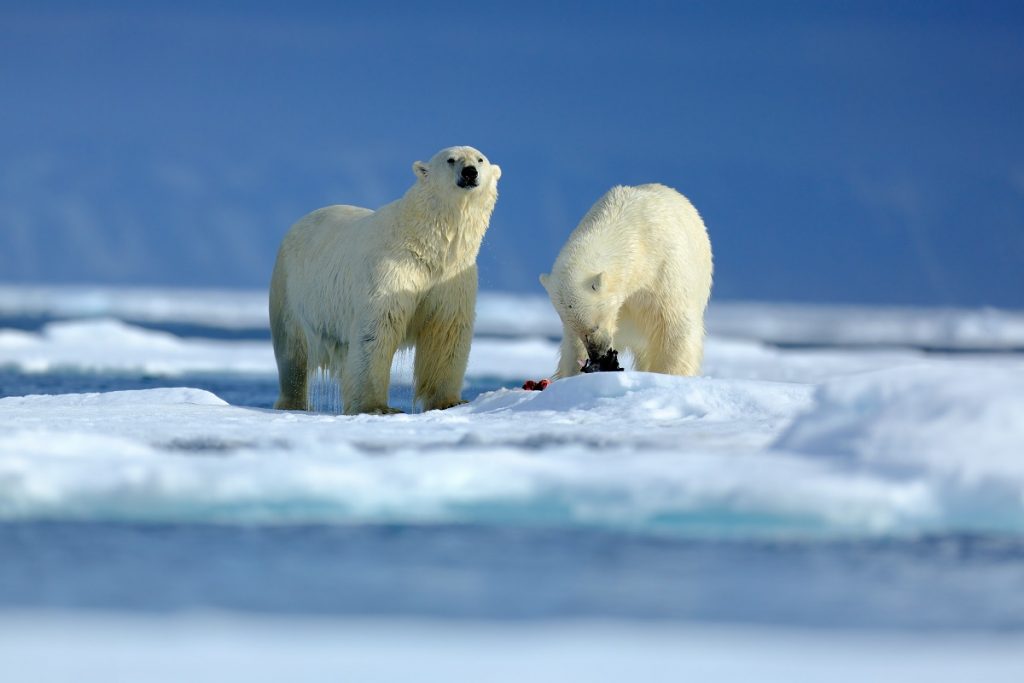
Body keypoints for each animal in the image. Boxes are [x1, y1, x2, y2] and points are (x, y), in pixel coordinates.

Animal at [269, 146, 501, 414]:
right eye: (451, 160)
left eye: (480, 159)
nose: (469, 172)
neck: (427, 245)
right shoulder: (392, 271)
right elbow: (378, 328)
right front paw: (376, 407)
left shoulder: (452, 278)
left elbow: (446, 331)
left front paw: (450, 401)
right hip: (290, 288)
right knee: (292, 351)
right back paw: (293, 404)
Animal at [540, 183, 713, 379]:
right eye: (579, 331)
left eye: (595, 327)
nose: (597, 353)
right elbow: (572, 347)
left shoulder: (664, 271)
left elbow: (675, 329)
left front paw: (669, 374)